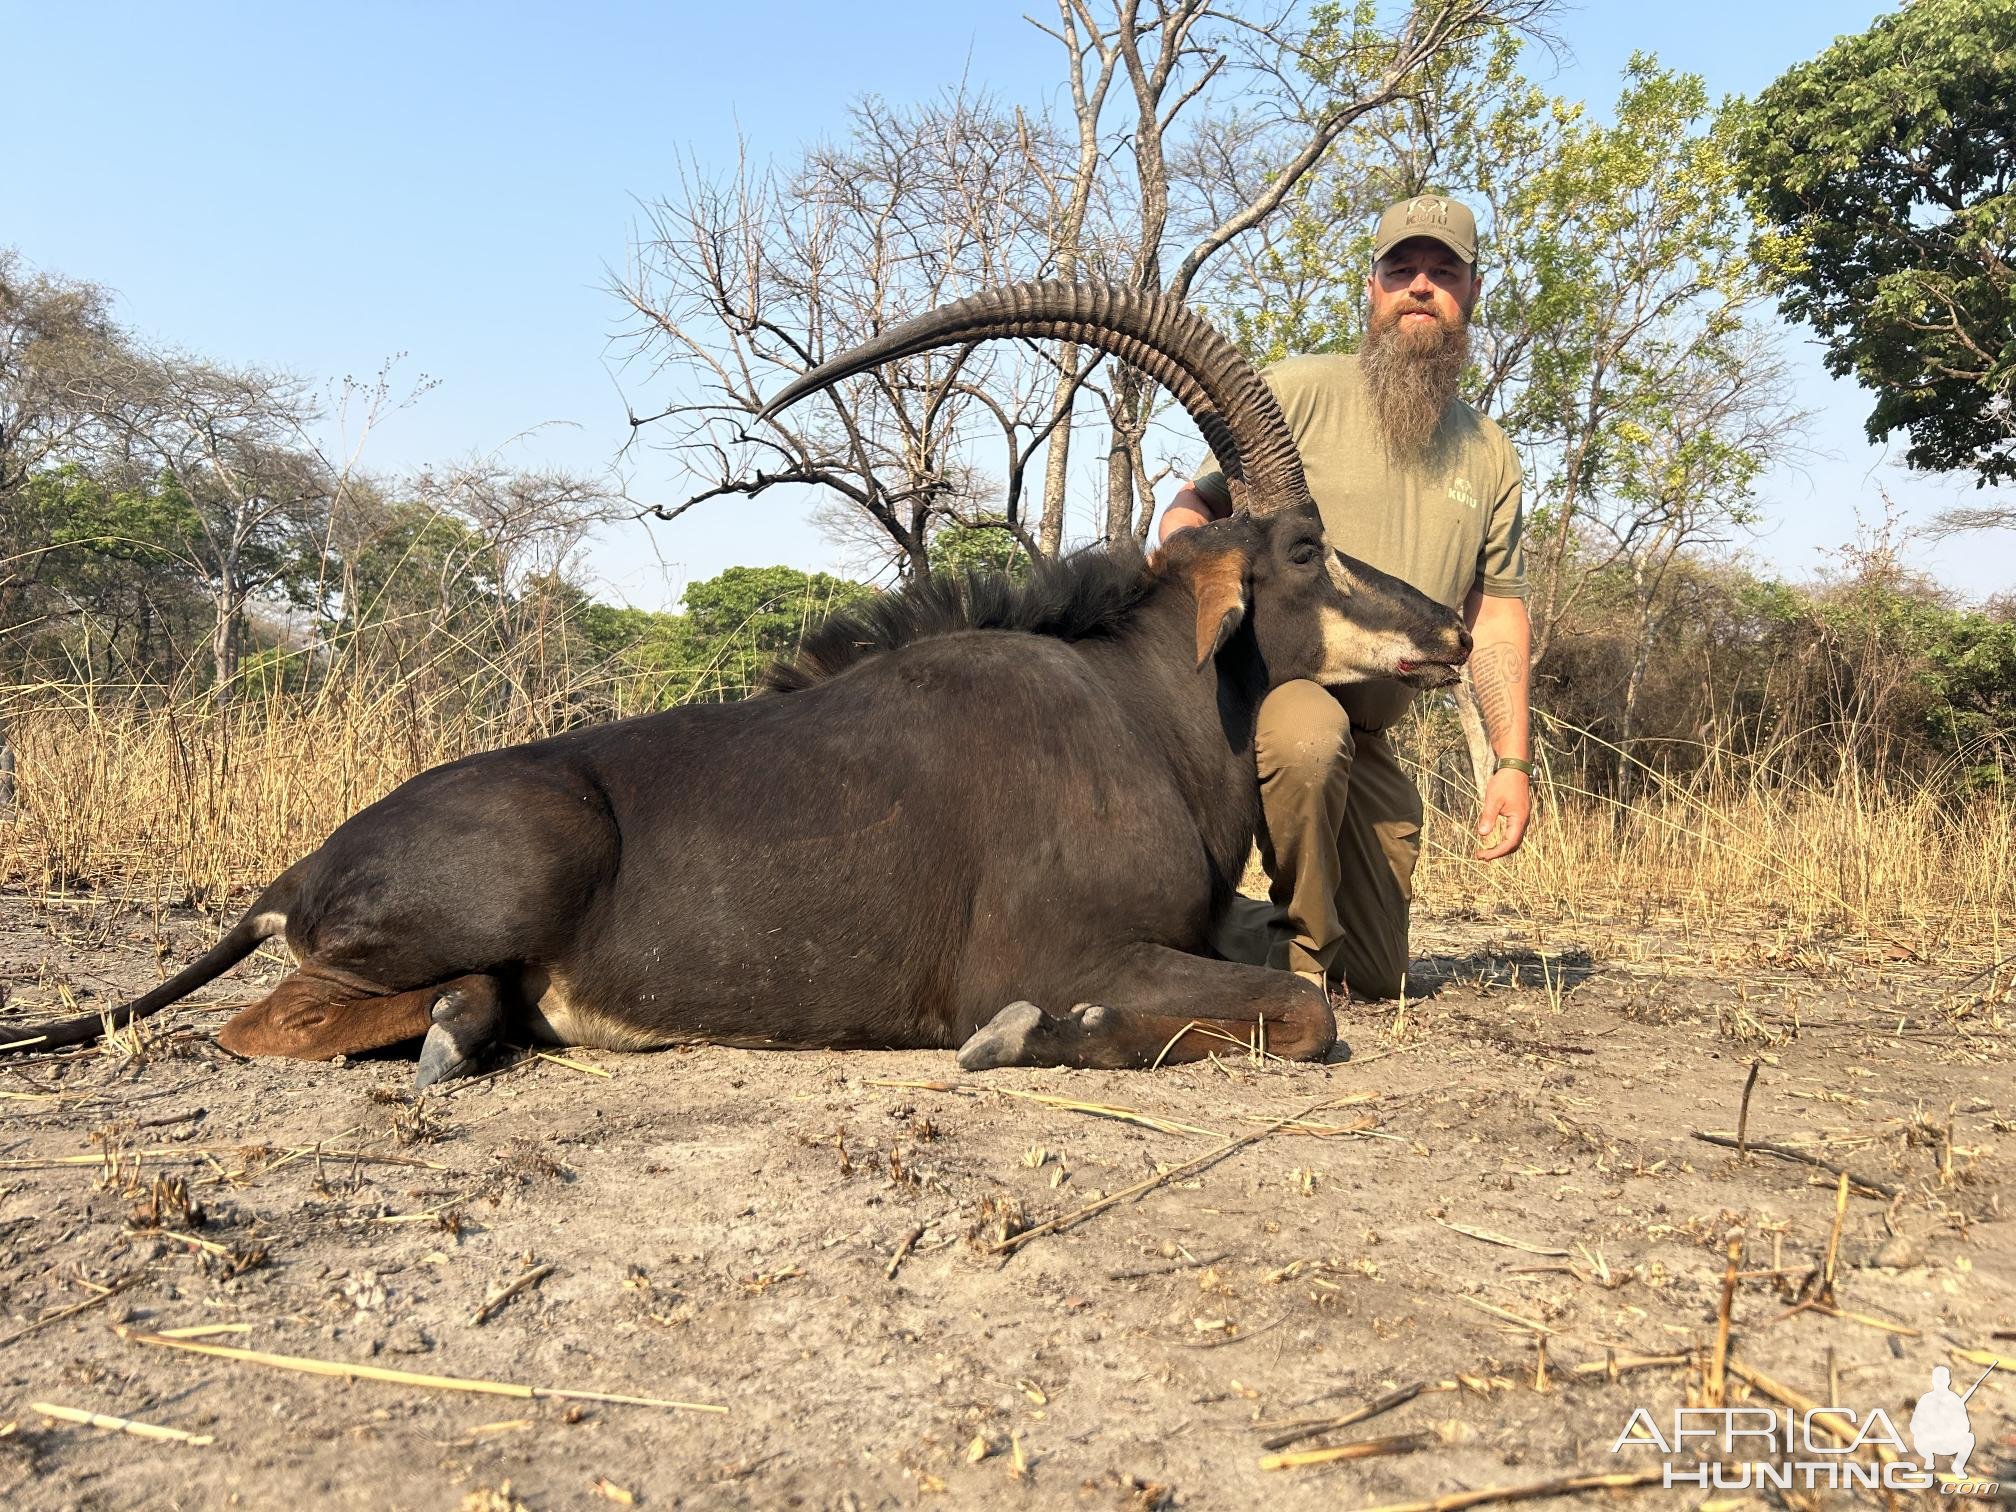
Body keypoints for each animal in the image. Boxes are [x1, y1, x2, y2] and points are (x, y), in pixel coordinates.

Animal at [7, 284, 1475, 1080]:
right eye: (1304, 548)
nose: (1453, 630)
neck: (1139, 708)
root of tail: (298, 868)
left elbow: (1284, 979)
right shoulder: (1057, 954)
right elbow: (1295, 1009)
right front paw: (1023, 1040)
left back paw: (476, 1024)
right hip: (513, 867)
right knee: (260, 1025)